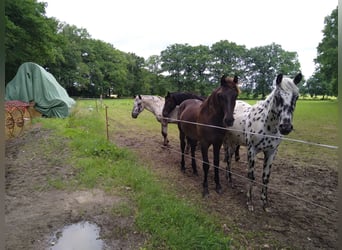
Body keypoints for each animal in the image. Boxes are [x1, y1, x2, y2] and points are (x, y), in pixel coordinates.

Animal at [224, 72, 302, 211]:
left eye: (296, 97)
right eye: (277, 96)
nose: (285, 127)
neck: (267, 125)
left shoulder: (271, 152)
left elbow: (265, 178)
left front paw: (265, 203)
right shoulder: (252, 151)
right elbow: (251, 176)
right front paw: (249, 202)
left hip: (234, 142)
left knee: (229, 159)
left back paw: (229, 179)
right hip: (228, 142)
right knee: (228, 159)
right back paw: (230, 181)